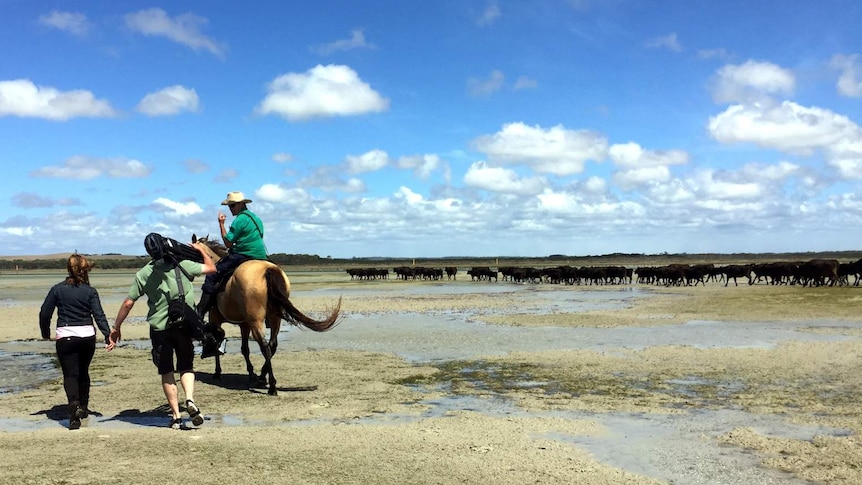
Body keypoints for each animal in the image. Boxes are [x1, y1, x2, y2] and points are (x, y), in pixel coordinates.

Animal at [194, 233, 342, 396]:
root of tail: (268, 270)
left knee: (265, 346)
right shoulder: (244, 324)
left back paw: (271, 386)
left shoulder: (216, 318)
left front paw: (218, 372)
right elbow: (244, 349)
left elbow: (218, 343)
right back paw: (262, 377)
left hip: (256, 321)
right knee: (272, 345)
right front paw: (252, 374)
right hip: (274, 319)